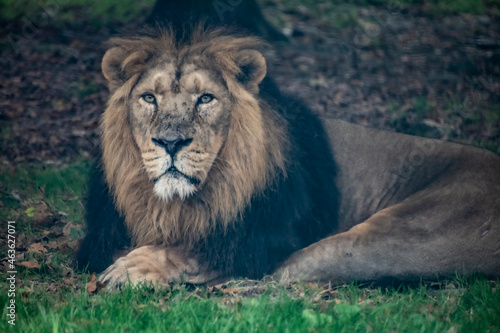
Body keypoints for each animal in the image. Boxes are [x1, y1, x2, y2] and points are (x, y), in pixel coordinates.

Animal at [75, 26, 500, 286]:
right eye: (149, 98)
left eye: (206, 98)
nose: (170, 142)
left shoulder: (262, 236)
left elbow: (197, 251)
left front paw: (136, 265)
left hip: (398, 232)